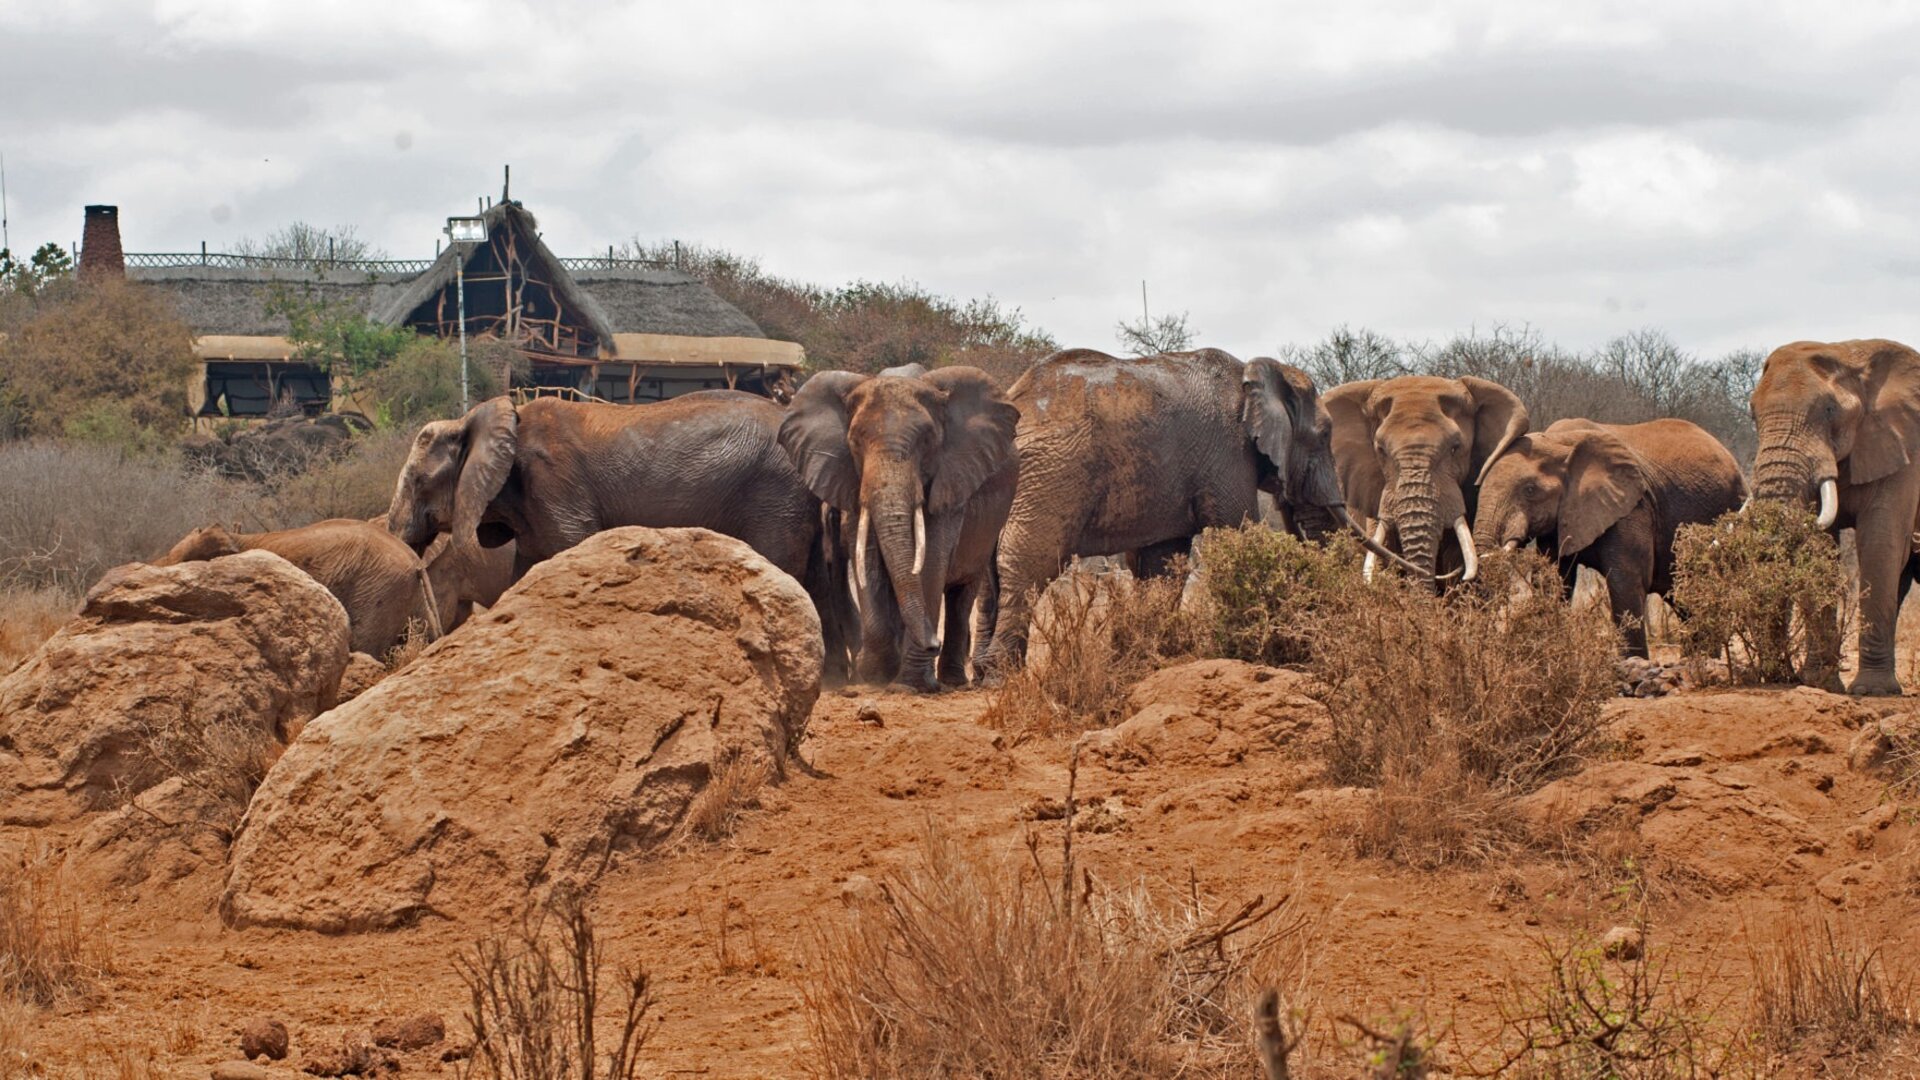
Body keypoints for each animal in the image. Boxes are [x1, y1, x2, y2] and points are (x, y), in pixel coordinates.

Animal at [385, 392, 850, 674]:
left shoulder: (553, 483)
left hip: (775, 494)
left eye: (417, 481)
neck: (481, 417)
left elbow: (572, 548)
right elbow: (526, 575)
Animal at [779, 364, 1018, 691]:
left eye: (928, 442)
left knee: (963, 592)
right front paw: (874, 675)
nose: (933, 642)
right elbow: (867, 559)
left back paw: (954, 681)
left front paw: (912, 684)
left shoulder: (951, 479)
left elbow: (930, 561)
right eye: (855, 443)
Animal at [984, 348, 1411, 672]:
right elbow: (1237, 534)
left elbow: (1160, 563)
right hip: (1053, 474)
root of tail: (1019, 399)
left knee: (989, 570)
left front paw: (1146, 656)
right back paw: (1001, 677)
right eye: (1324, 435)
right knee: (1028, 562)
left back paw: (979, 676)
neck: (1255, 374)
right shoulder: (1228, 455)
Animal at [1471, 418, 1749, 657]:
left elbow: (1626, 581)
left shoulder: (1632, 507)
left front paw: (1633, 668)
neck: (1559, 442)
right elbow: (1553, 581)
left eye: (1529, 490)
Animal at [1749, 339, 1920, 696]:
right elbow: (1818, 546)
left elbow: (1879, 542)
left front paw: (1872, 691)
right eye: (1752, 415)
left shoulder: (1907, 445)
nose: (1777, 675)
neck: (1848, 353)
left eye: (1829, 410)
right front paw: (1822, 684)